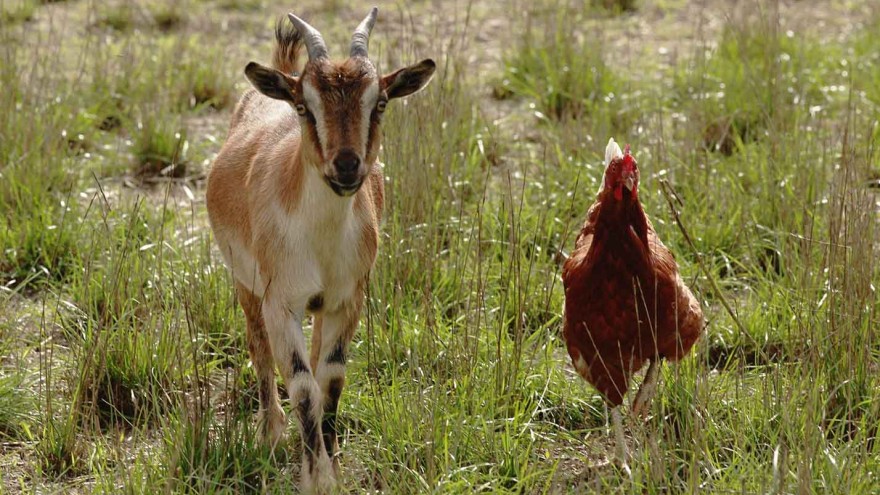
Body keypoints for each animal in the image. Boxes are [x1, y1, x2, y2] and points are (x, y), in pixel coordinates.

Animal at [206, 8, 435, 493]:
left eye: (380, 102)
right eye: (305, 106)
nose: (346, 166)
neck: (321, 242)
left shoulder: (347, 300)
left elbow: (329, 379)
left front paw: (332, 465)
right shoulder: (280, 302)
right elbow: (302, 385)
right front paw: (317, 478)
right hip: (245, 284)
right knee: (258, 348)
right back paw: (271, 431)